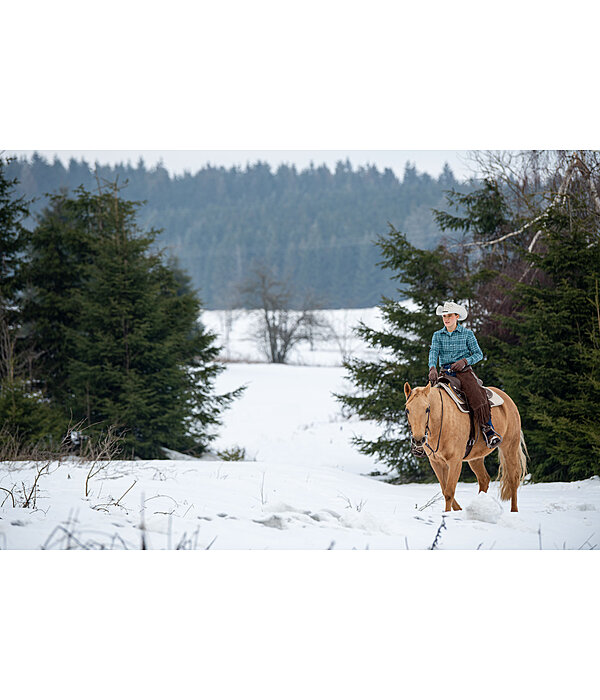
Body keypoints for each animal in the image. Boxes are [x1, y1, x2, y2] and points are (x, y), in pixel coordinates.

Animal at [406, 382, 528, 516]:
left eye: (427, 409)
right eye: (407, 410)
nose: (418, 439)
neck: (442, 422)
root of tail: (507, 399)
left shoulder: (455, 462)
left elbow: (449, 492)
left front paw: (447, 514)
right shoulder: (436, 462)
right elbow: (444, 489)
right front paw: (458, 510)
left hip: (509, 447)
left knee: (513, 479)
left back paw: (514, 511)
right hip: (475, 458)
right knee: (484, 479)